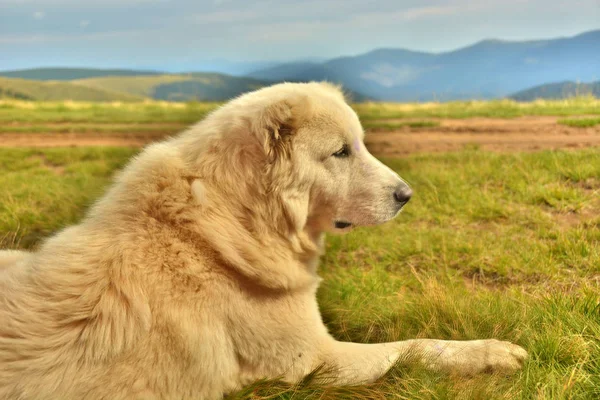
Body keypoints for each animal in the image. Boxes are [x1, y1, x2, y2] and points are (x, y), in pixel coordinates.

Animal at [0, 83, 524, 398]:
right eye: (341, 152)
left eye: (360, 145)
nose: (406, 196)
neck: (237, 225)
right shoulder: (315, 363)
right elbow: (416, 346)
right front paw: (492, 353)